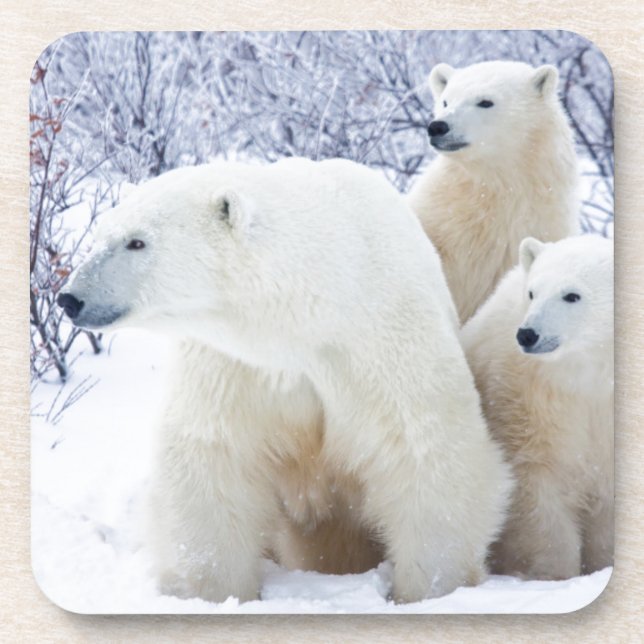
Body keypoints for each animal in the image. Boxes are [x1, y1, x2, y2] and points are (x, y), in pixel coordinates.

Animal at [58, 157, 513, 604]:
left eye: (137, 242)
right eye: (100, 235)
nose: (69, 298)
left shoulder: (381, 341)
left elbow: (425, 450)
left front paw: (430, 589)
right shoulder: (235, 365)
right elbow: (212, 456)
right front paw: (214, 593)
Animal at [460, 234, 614, 580]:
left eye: (571, 295)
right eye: (532, 292)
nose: (527, 334)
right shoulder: (525, 398)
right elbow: (536, 487)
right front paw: (554, 575)